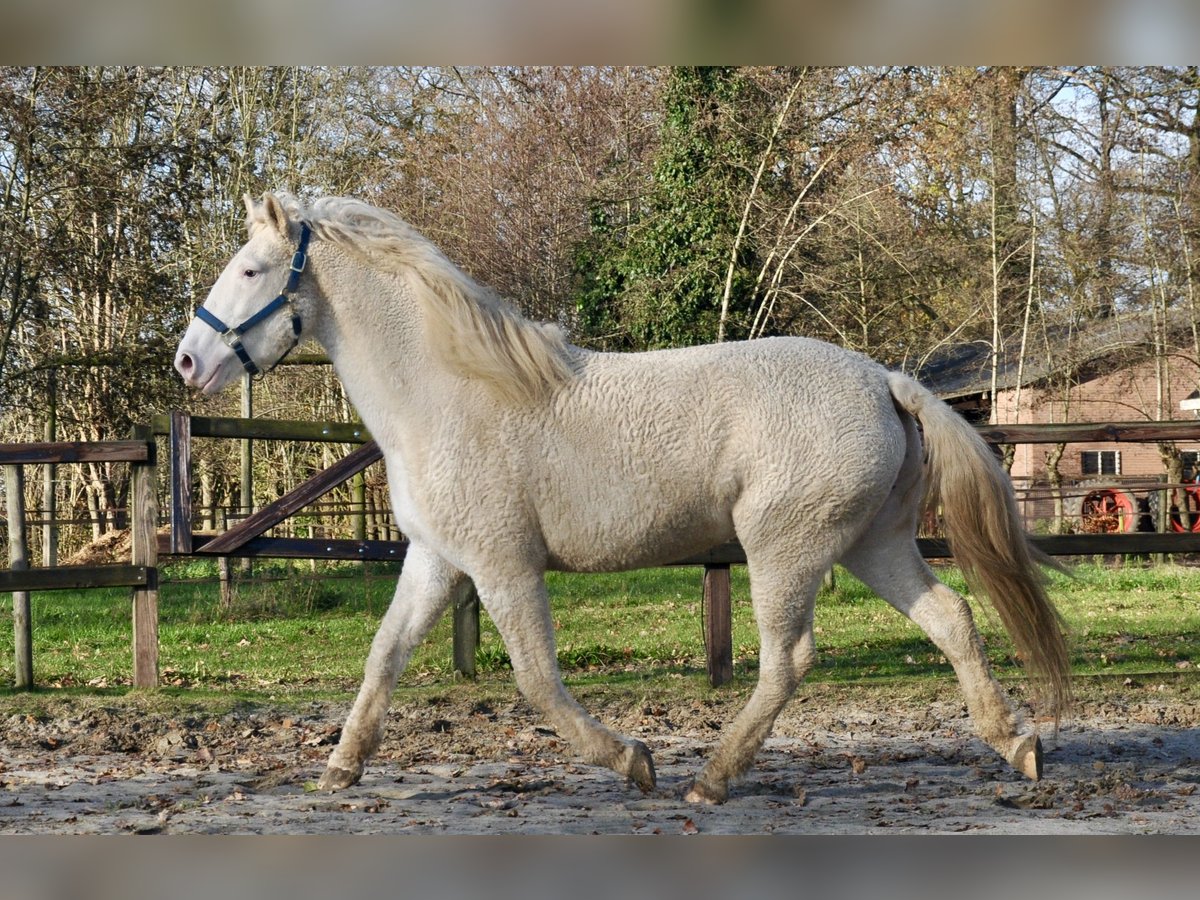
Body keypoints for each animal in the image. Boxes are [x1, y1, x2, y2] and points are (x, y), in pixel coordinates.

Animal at [175, 192, 1070, 801]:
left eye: (250, 269)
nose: (187, 362)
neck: (447, 392)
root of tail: (885, 380)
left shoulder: (503, 565)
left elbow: (536, 679)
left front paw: (632, 760)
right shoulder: (437, 560)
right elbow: (384, 656)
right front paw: (339, 767)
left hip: (787, 550)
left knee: (787, 662)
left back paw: (709, 778)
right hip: (870, 543)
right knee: (950, 617)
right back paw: (1015, 745)